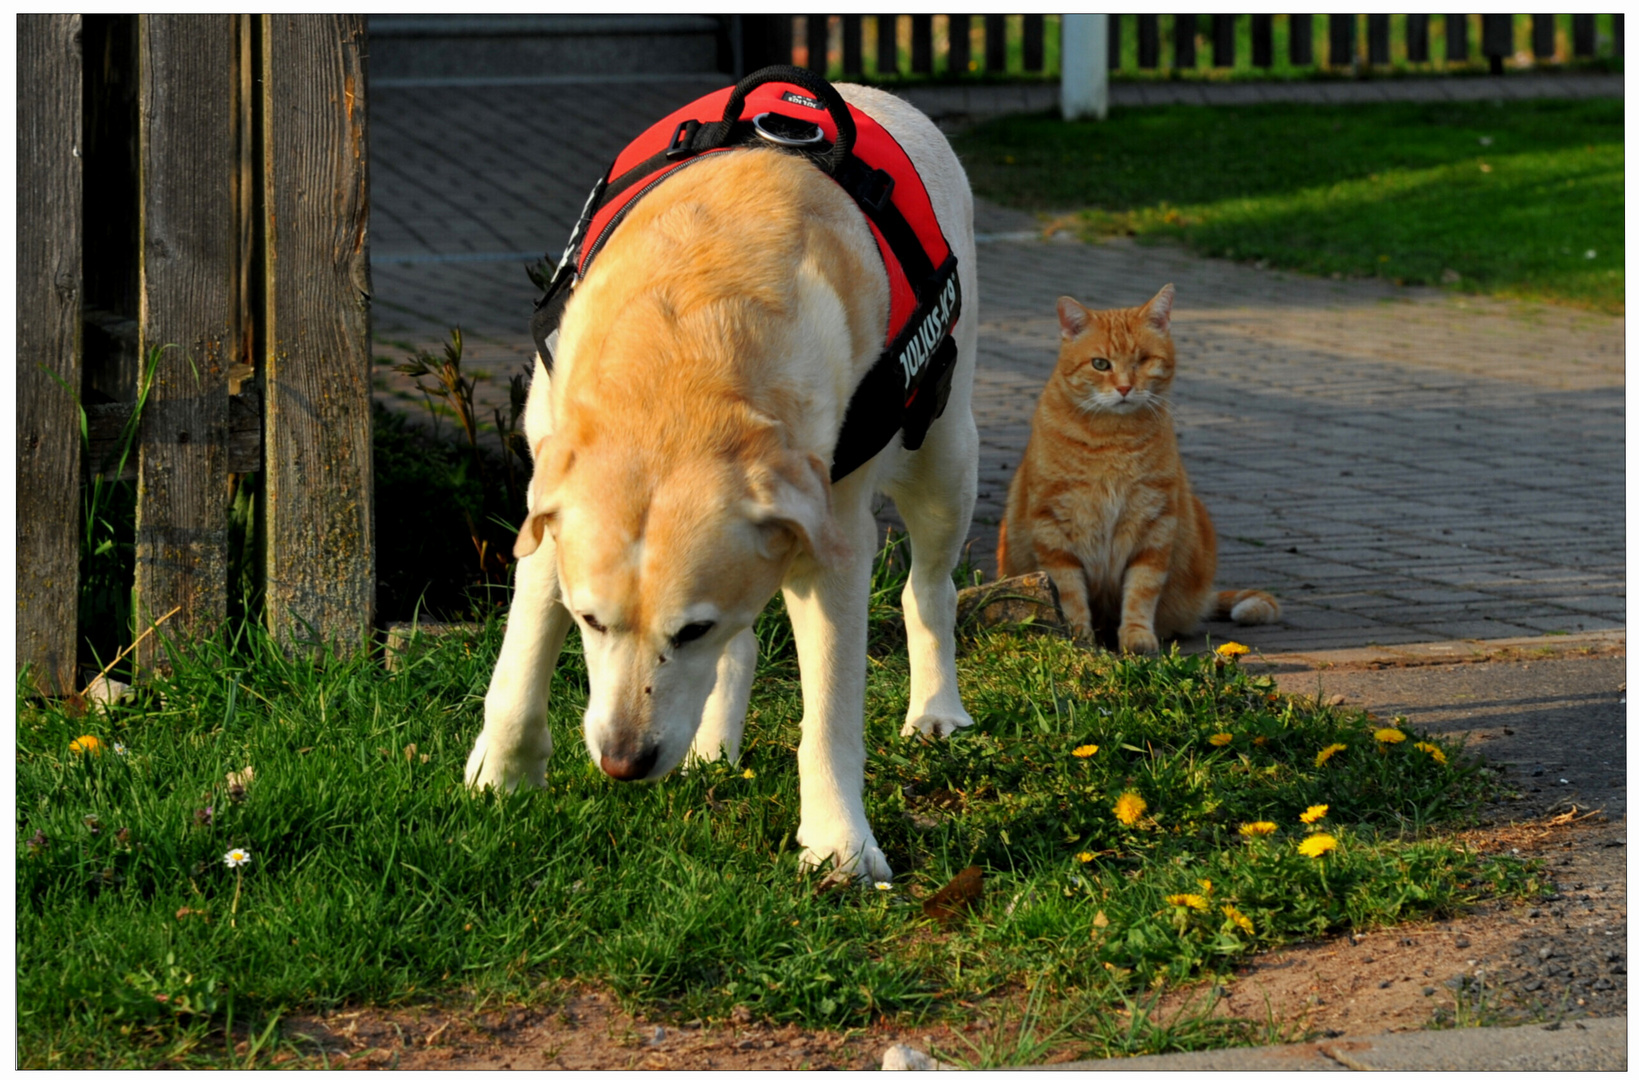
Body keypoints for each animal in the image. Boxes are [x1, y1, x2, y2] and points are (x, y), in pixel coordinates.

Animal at [462, 82, 970, 878]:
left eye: (690, 629)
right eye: (591, 622)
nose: (623, 763)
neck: (683, 360)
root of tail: (874, 92)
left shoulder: (835, 542)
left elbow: (830, 714)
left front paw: (840, 843)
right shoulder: (547, 506)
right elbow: (521, 657)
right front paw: (503, 774)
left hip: (946, 457)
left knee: (930, 588)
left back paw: (936, 710)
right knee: (749, 643)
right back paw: (712, 748)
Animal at [996, 285, 1278, 652]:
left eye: (1142, 361)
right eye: (1100, 364)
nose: (1125, 387)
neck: (1114, 440)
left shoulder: (1155, 523)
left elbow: (1141, 590)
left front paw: (1137, 636)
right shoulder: (1052, 527)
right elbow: (1069, 592)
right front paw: (1079, 637)